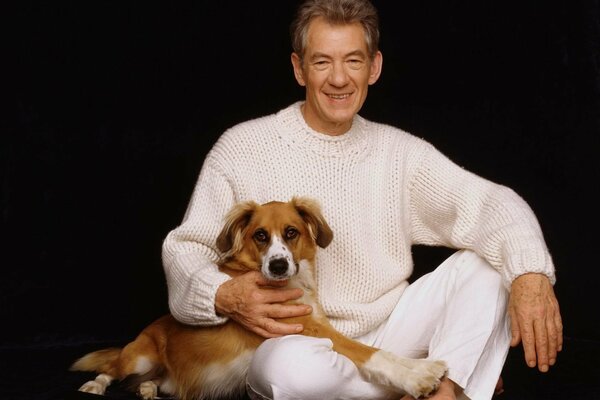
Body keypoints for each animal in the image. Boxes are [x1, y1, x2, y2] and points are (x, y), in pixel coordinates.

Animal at [70, 197, 448, 400]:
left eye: (292, 232)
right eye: (260, 236)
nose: (278, 265)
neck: (293, 283)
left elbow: (379, 351)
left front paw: (422, 367)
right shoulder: (308, 329)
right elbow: (369, 353)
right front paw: (416, 377)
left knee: (148, 383)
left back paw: (148, 390)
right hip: (140, 356)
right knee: (111, 369)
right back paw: (94, 385)